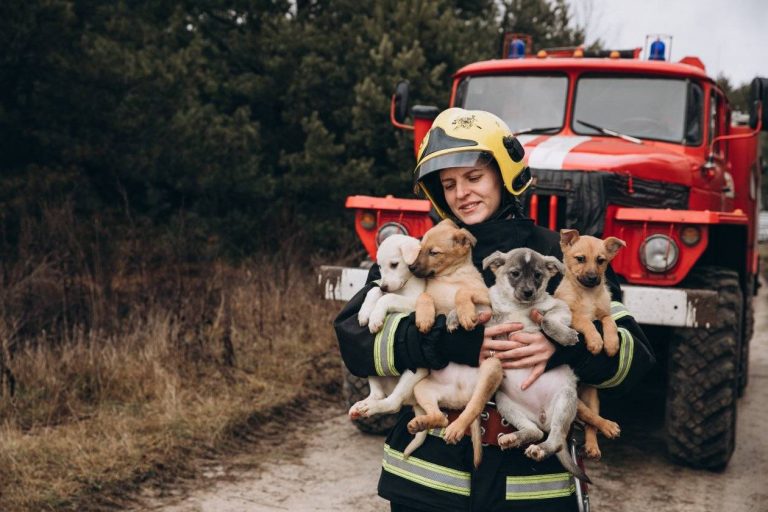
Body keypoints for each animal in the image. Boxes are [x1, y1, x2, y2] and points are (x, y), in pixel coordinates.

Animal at [352, 234, 428, 422]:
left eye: (394, 264)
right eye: (379, 266)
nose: (384, 286)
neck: (405, 284)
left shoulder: (414, 302)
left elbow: (387, 298)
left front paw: (375, 318)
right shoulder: (383, 289)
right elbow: (374, 292)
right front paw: (365, 313)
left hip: (416, 371)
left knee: (393, 403)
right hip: (371, 365)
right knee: (377, 394)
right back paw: (363, 406)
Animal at [484, 249, 592, 484]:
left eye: (537, 276)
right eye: (515, 273)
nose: (527, 292)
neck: (518, 306)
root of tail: (542, 416)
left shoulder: (559, 308)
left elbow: (546, 321)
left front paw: (565, 336)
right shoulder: (492, 316)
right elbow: (477, 312)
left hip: (565, 400)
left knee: (555, 440)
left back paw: (540, 449)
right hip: (505, 403)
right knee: (535, 432)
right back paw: (513, 438)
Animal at [556, 229, 628, 460]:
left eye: (601, 261)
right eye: (580, 259)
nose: (592, 278)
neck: (586, 294)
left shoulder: (605, 313)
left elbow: (609, 322)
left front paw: (612, 344)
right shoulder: (571, 317)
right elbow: (586, 322)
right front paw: (596, 342)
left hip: (592, 396)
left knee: (591, 422)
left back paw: (594, 445)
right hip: (576, 401)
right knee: (588, 416)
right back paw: (609, 426)